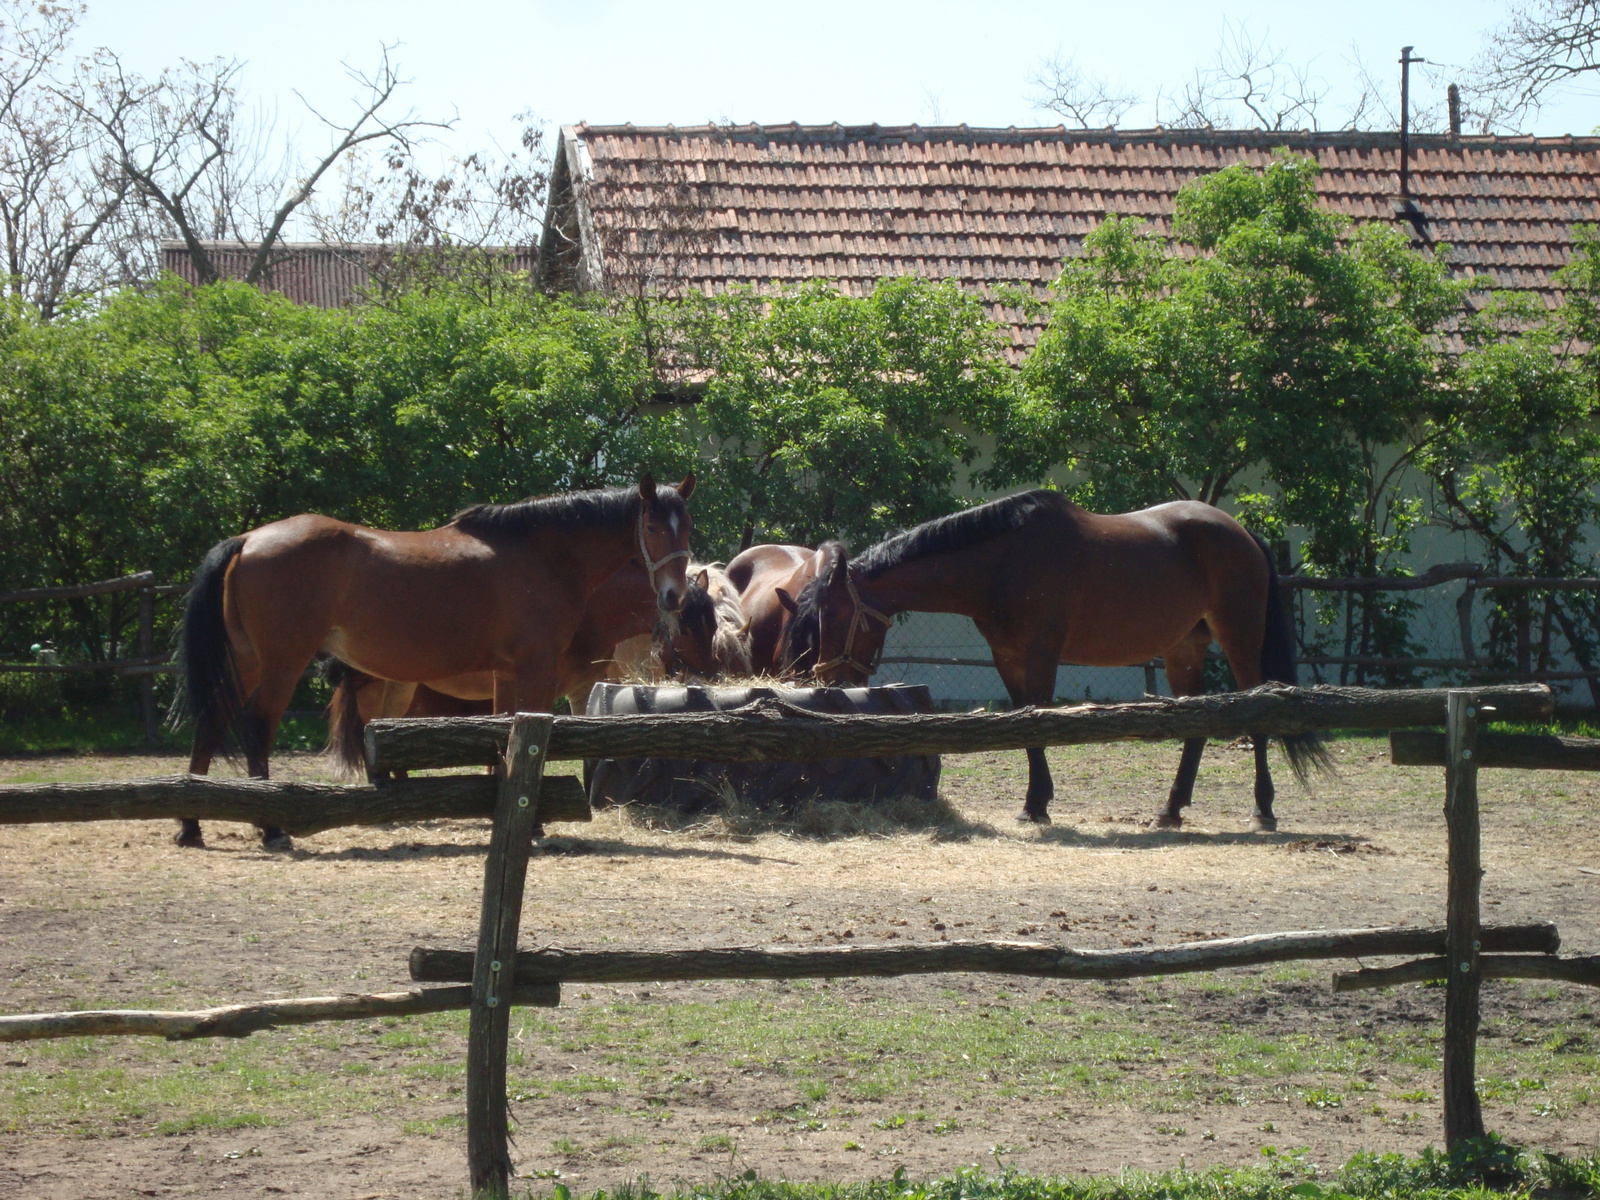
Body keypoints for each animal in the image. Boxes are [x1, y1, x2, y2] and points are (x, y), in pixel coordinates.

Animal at [175, 473, 694, 851]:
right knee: (258, 729)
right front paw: (533, 825)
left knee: (211, 724)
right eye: (651, 527)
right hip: (282, 664)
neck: (545, 553)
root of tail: (248, 539)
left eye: (686, 527)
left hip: (246, 664)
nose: (673, 596)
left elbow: (503, 734)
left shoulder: (506, 673)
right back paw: (271, 829)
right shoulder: (537, 667)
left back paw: (191, 825)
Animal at [780, 492, 1331, 832]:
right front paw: (1035, 803)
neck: (1001, 562)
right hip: (1183, 649)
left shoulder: (1041, 654)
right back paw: (1170, 810)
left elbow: (1038, 724)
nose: (831, 683)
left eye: (833, 616)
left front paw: (1035, 805)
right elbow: (1024, 727)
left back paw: (1262, 809)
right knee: (1195, 727)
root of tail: (1242, 532)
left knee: (1258, 717)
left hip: (1239, 639)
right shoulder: (1008, 659)